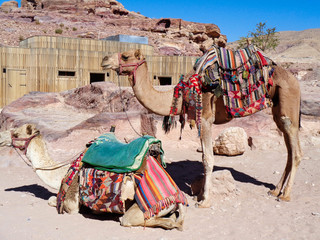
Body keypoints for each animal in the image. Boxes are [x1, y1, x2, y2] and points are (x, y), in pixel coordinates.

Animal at [0, 124, 186, 230]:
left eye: (15, 134)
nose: (1, 138)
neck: (62, 172)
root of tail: (176, 195)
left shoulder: (72, 202)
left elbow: (53, 201)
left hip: (145, 208)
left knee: (143, 220)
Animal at [101, 48, 302, 206]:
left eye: (125, 56)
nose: (104, 60)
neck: (182, 93)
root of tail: (295, 80)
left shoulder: (205, 118)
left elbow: (208, 159)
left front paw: (205, 200)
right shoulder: (199, 121)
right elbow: (205, 156)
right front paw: (199, 195)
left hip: (288, 105)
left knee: (296, 152)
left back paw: (286, 195)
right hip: (278, 111)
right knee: (289, 151)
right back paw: (275, 190)